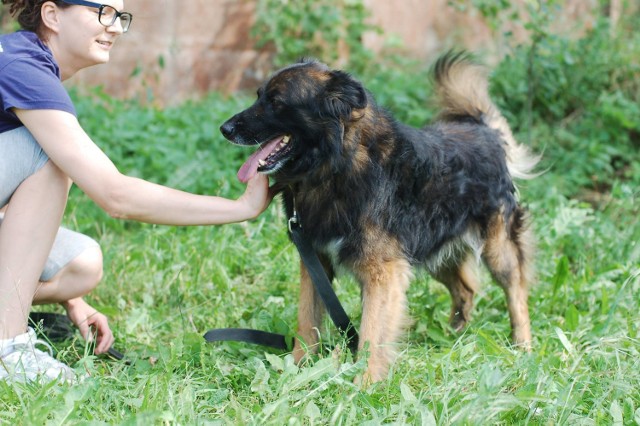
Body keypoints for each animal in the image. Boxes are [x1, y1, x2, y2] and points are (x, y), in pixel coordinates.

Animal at [220, 50, 540, 382]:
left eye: (276, 102)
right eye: (258, 96)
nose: (225, 129)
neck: (336, 166)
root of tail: (484, 130)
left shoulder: (383, 272)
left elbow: (371, 334)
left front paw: (365, 384)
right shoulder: (315, 260)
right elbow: (306, 322)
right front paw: (296, 370)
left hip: (496, 249)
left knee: (516, 290)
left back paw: (523, 346)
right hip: (431, 250)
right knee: (465, 290)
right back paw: (454, 336)